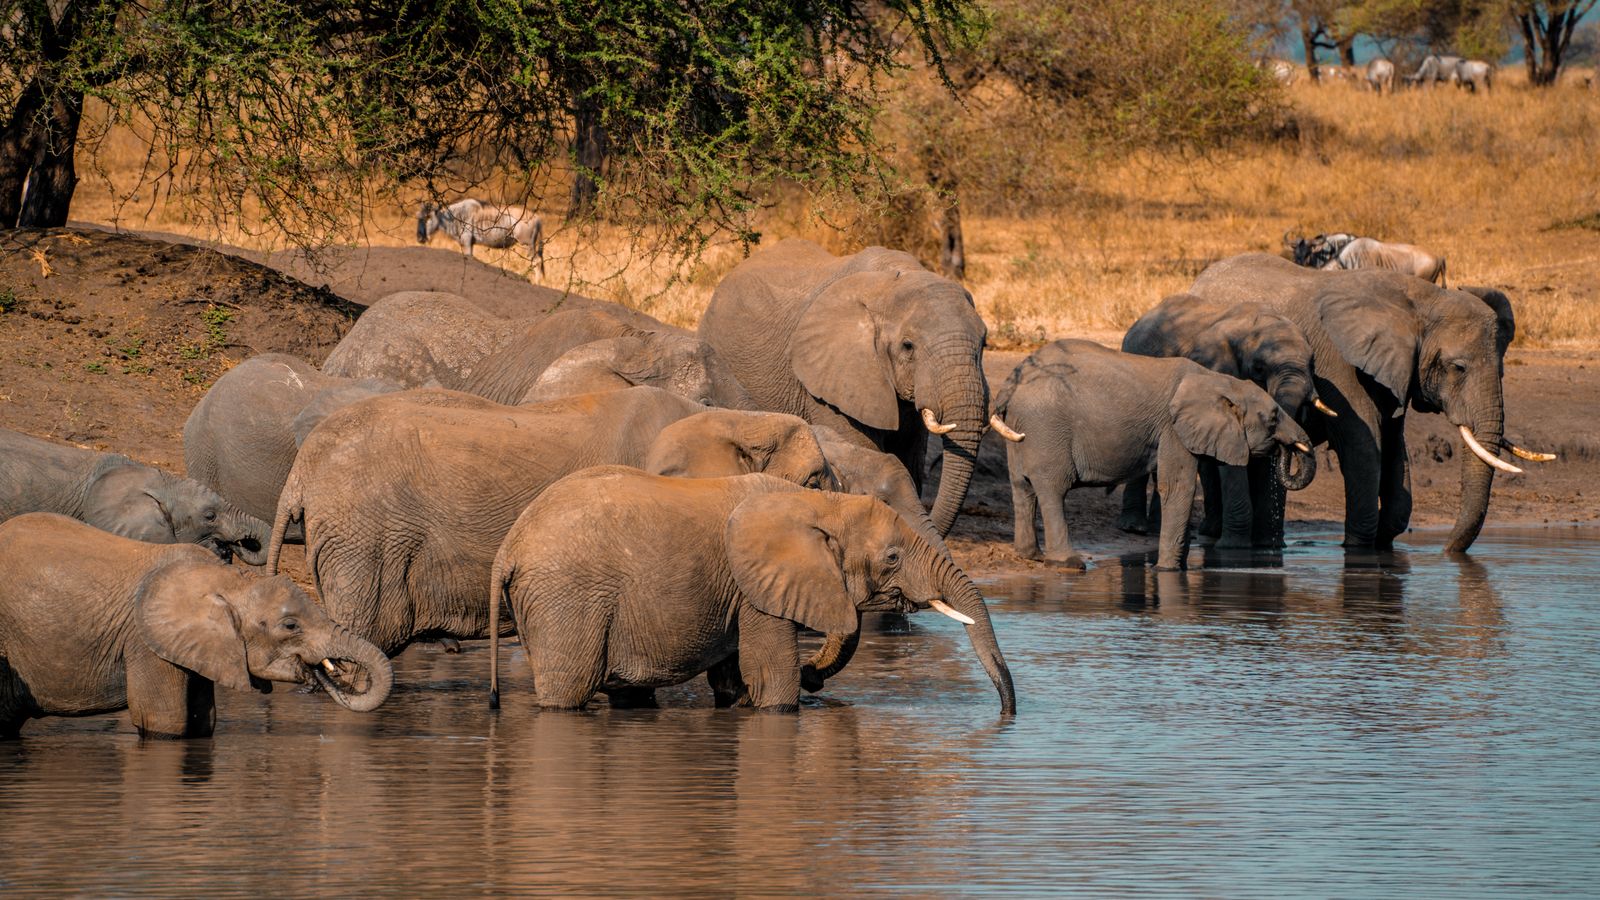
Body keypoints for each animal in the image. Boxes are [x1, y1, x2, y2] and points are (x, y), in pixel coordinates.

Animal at [0, 513, 392, 739]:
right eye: (290, 625)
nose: (323, 676)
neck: (228, 580)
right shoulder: (146, 643)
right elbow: (165, 721)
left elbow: (204, 720)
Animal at [487, 467, 1016, 713]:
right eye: (892, 558)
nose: (1008, 714)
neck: (820, 502)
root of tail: (508, 547)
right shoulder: (757, 589)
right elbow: (773, 683)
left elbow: (735, 680)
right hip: (565, 598)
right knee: (568, 689)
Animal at [988, 340, 1313, 571]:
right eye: (1273, 418)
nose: (1288, 448)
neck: (1216, 380)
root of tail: (1011, 383)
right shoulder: (1172, 429)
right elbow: (1177, 488)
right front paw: (1166, 571)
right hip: (1046, 427)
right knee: (1053, 489)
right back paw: (1069, 564)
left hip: (1023, 429)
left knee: (1022, 487)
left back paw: (1030, 555)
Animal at [1119, 293, 1324, 547]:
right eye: (1259, 368)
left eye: (1313, 364)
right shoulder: (1216, 370)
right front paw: (1234, 547)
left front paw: (1268, 546)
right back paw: (1134, 527)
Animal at [1188, 253, 1553, 552]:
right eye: (1458, 367)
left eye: (1502, 370)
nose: (1446, 551)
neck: (1422, 301)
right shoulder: (1337, 364)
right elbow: (1363, 446)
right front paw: (1357, 548)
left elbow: (1393, 447)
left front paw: (1382, 543)